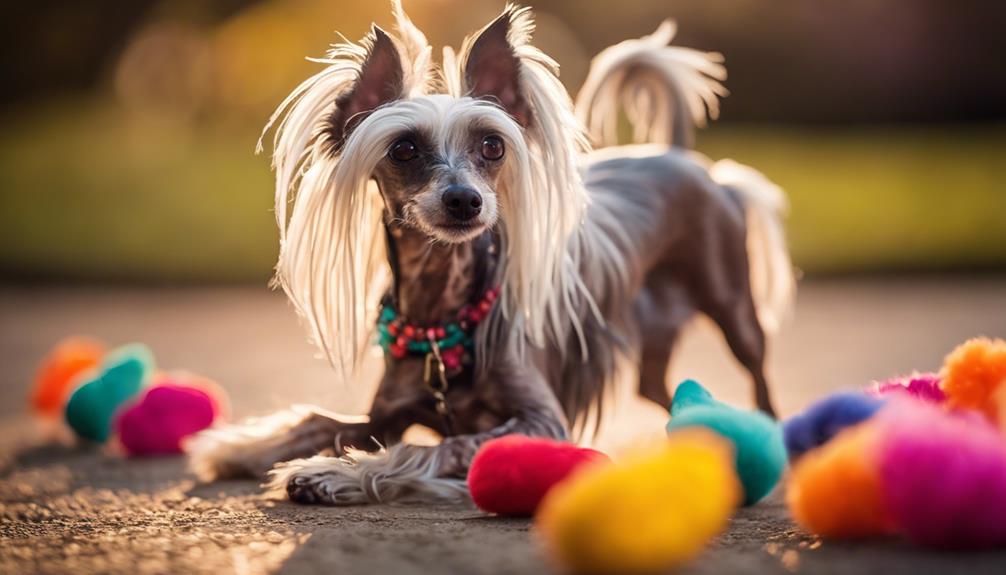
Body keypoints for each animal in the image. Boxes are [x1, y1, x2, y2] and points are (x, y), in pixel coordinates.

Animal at [189, 0, 792, 502]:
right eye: (403, 148)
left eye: (493, 145)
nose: (465, 200)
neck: (441, 319)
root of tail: (676, 153)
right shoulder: (384, 413)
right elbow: (318, 420)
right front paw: (240, 449)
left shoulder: (543, 422)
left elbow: (435, 446)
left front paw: (336, 473)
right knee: (665, 393)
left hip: (735, 310)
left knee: (761, 382)